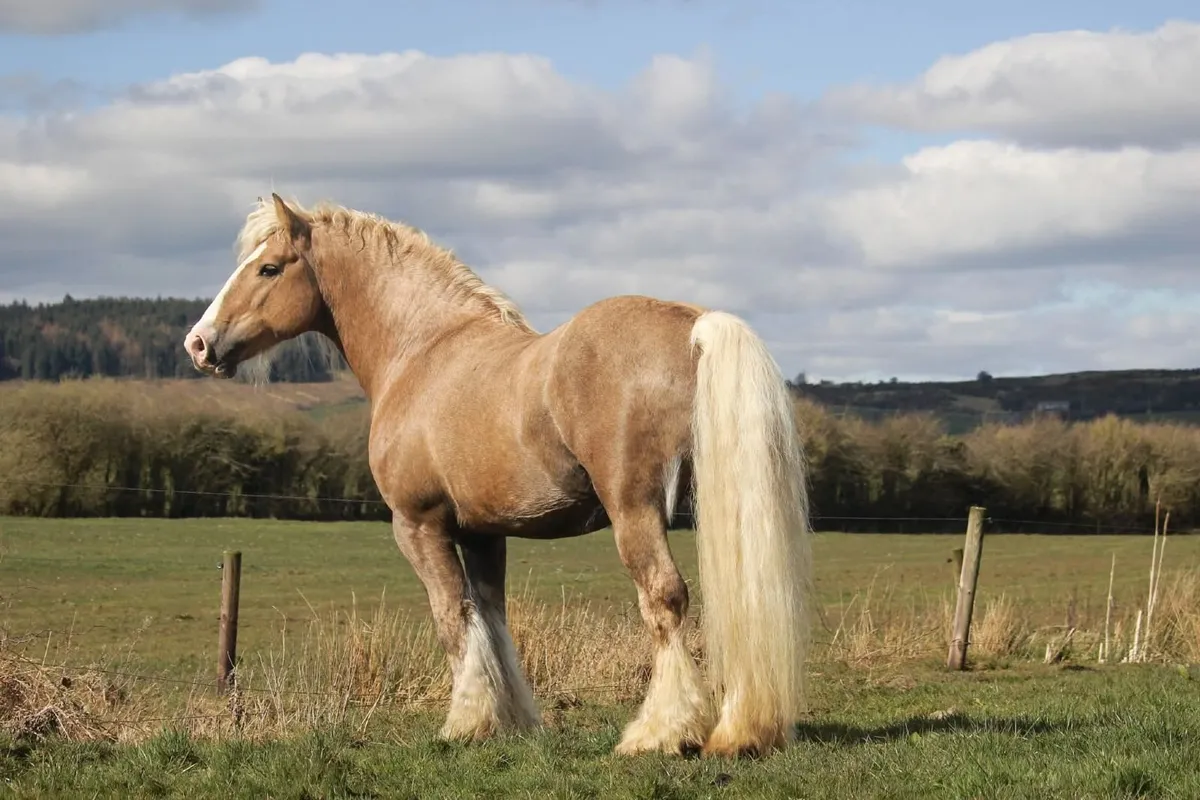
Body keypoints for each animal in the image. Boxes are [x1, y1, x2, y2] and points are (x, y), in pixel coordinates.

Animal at [183, 193, 813, 758]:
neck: (424, 351)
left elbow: (453, 617)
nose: (199, 342)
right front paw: (509, 720)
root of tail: (694, 326)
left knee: (664, 597)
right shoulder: (485, 533)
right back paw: (740, 732)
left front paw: (463, 723)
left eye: (268, 267)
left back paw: (656, 733)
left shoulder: (419, 527)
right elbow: (492, 616)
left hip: (634, 511)